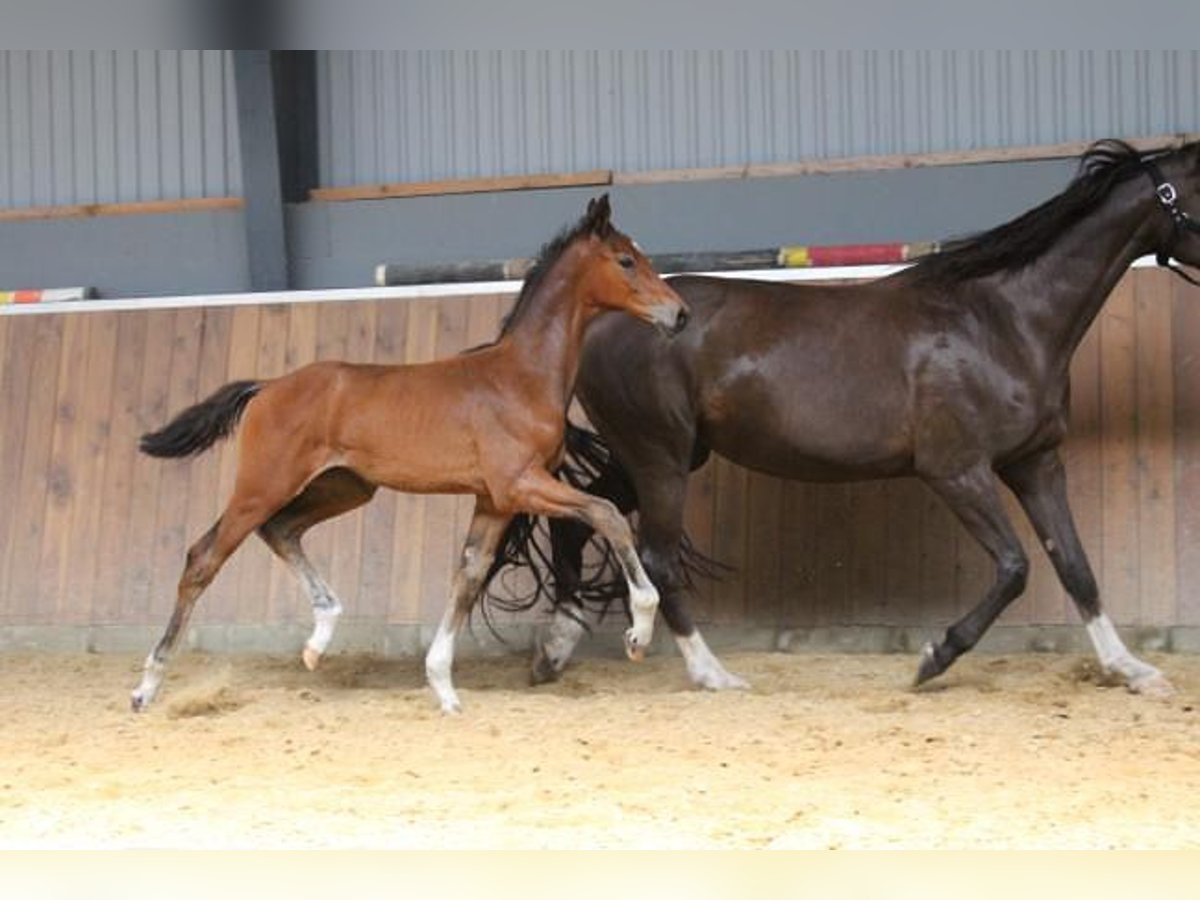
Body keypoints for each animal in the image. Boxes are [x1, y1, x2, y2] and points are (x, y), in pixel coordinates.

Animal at [130, 194, 686, 715]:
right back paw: (146, 687)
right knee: (203, 558)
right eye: (626, 260)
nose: (679, 314)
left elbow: (468, 575)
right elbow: (607, 513)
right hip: (262, 485)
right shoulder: (519, 485)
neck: (520, 377)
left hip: (345, 487)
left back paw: (318, 640)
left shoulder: (494, 501)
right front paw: (638, 632)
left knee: (281, 529)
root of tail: (266, 387)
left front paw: (443, 688)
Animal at [520, 137, 1200, 696]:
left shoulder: (1034, 463)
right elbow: (1015, 568)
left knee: (583, 524)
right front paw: (933, 657)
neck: (1001, 320)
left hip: (662, 455)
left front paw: (1132, 670)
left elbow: (1076, 568)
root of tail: (603, 320)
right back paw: (711, 673)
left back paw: (554, 652)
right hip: (659, 456)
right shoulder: (957, 470)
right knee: (653, 554)